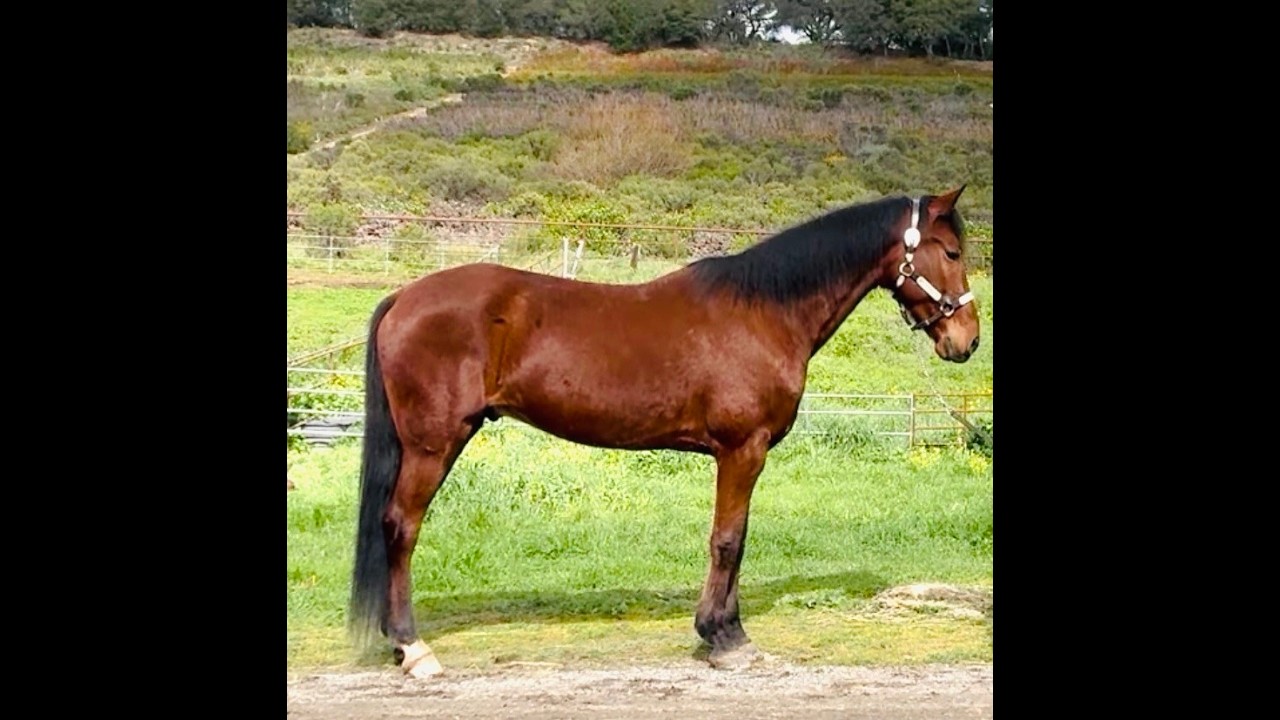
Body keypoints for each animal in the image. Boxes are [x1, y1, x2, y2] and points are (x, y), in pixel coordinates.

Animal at [348, 186, 981, 678]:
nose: (967, 341)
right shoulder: (742, 450)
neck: (764, 312)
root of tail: (404, 296)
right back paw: (413, 648)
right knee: (401, 526)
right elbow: (727, 540)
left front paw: (724, 630)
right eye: (951, 251)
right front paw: (725, 638)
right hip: (433, 444)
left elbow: (737, 539)